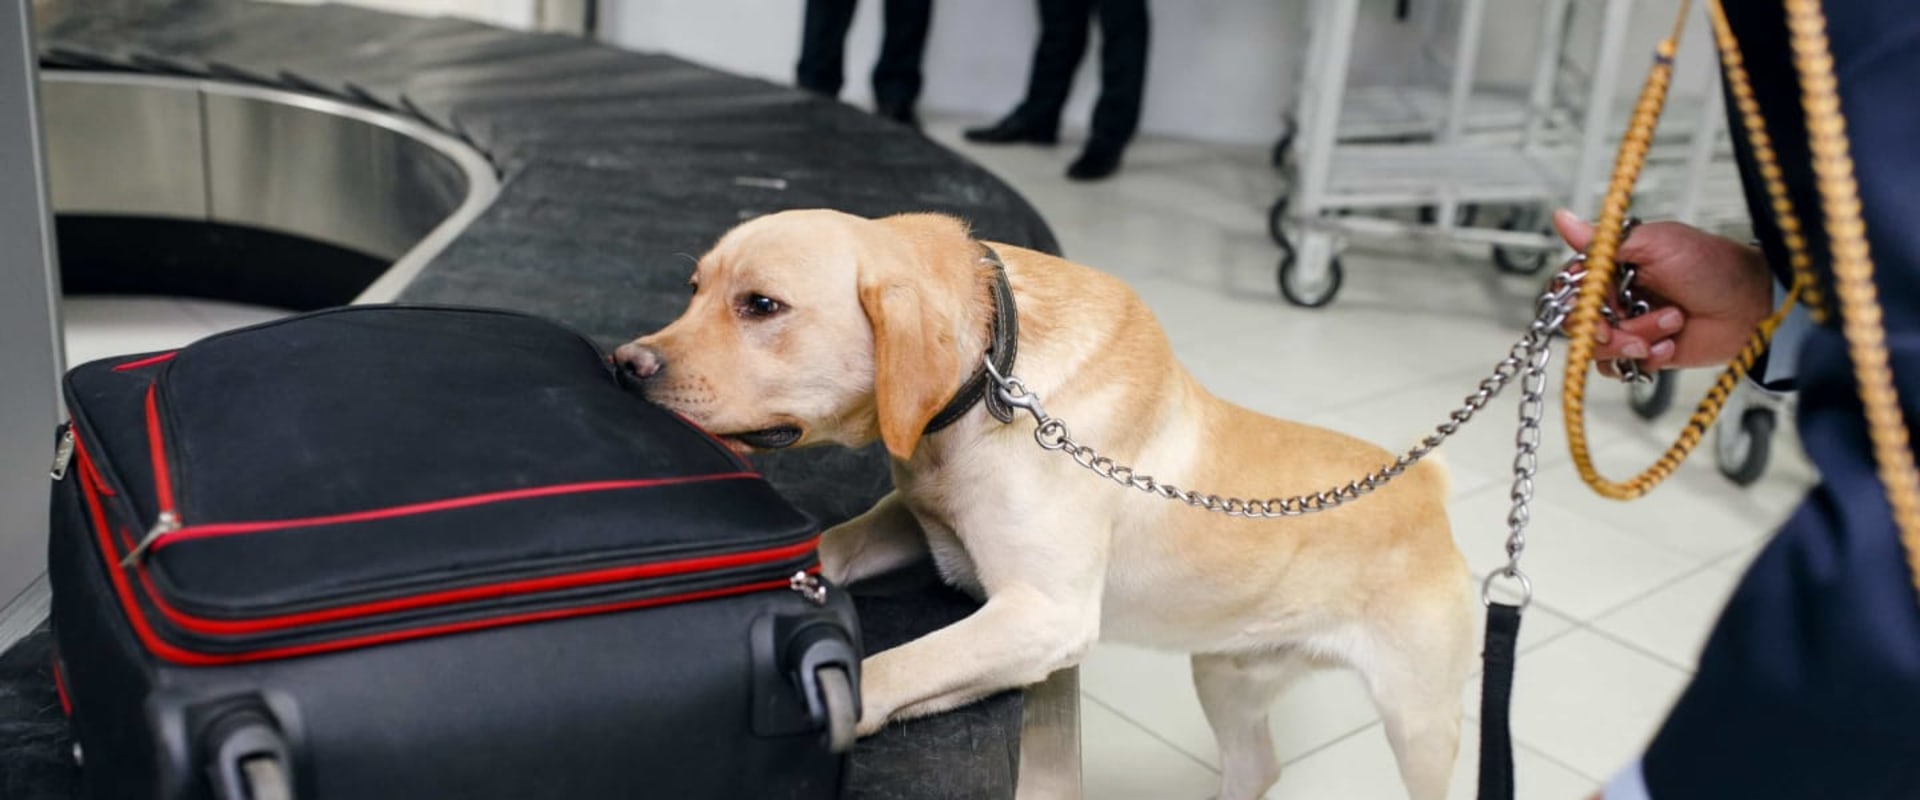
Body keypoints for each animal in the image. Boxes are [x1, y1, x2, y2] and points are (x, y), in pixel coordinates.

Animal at [614, 207, 1466, 798]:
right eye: (694, 290)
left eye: (761, 305)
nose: (625, 364)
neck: (995, 373)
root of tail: (1426, 488)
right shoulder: (915, 525)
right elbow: (834, 547)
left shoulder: (1043, 616)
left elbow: (895, 668)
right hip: (1227, 677)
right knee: (1257, 766)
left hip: (1419, 724)